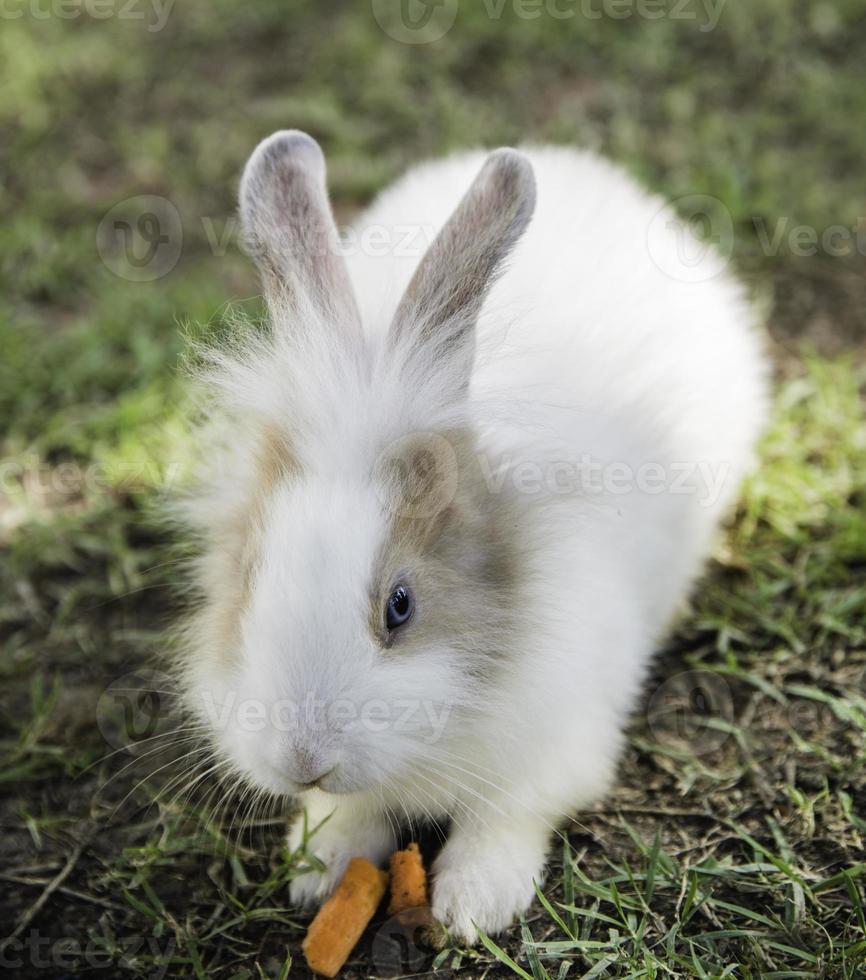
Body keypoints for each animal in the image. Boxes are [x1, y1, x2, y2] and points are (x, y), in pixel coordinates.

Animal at [179, 130, 768, 940]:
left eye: (401, 606)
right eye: (248, 578)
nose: (302, 756)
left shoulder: (553, 750)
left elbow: (507, 818)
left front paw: (473, 905)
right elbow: (347, 812)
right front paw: (320, 870)